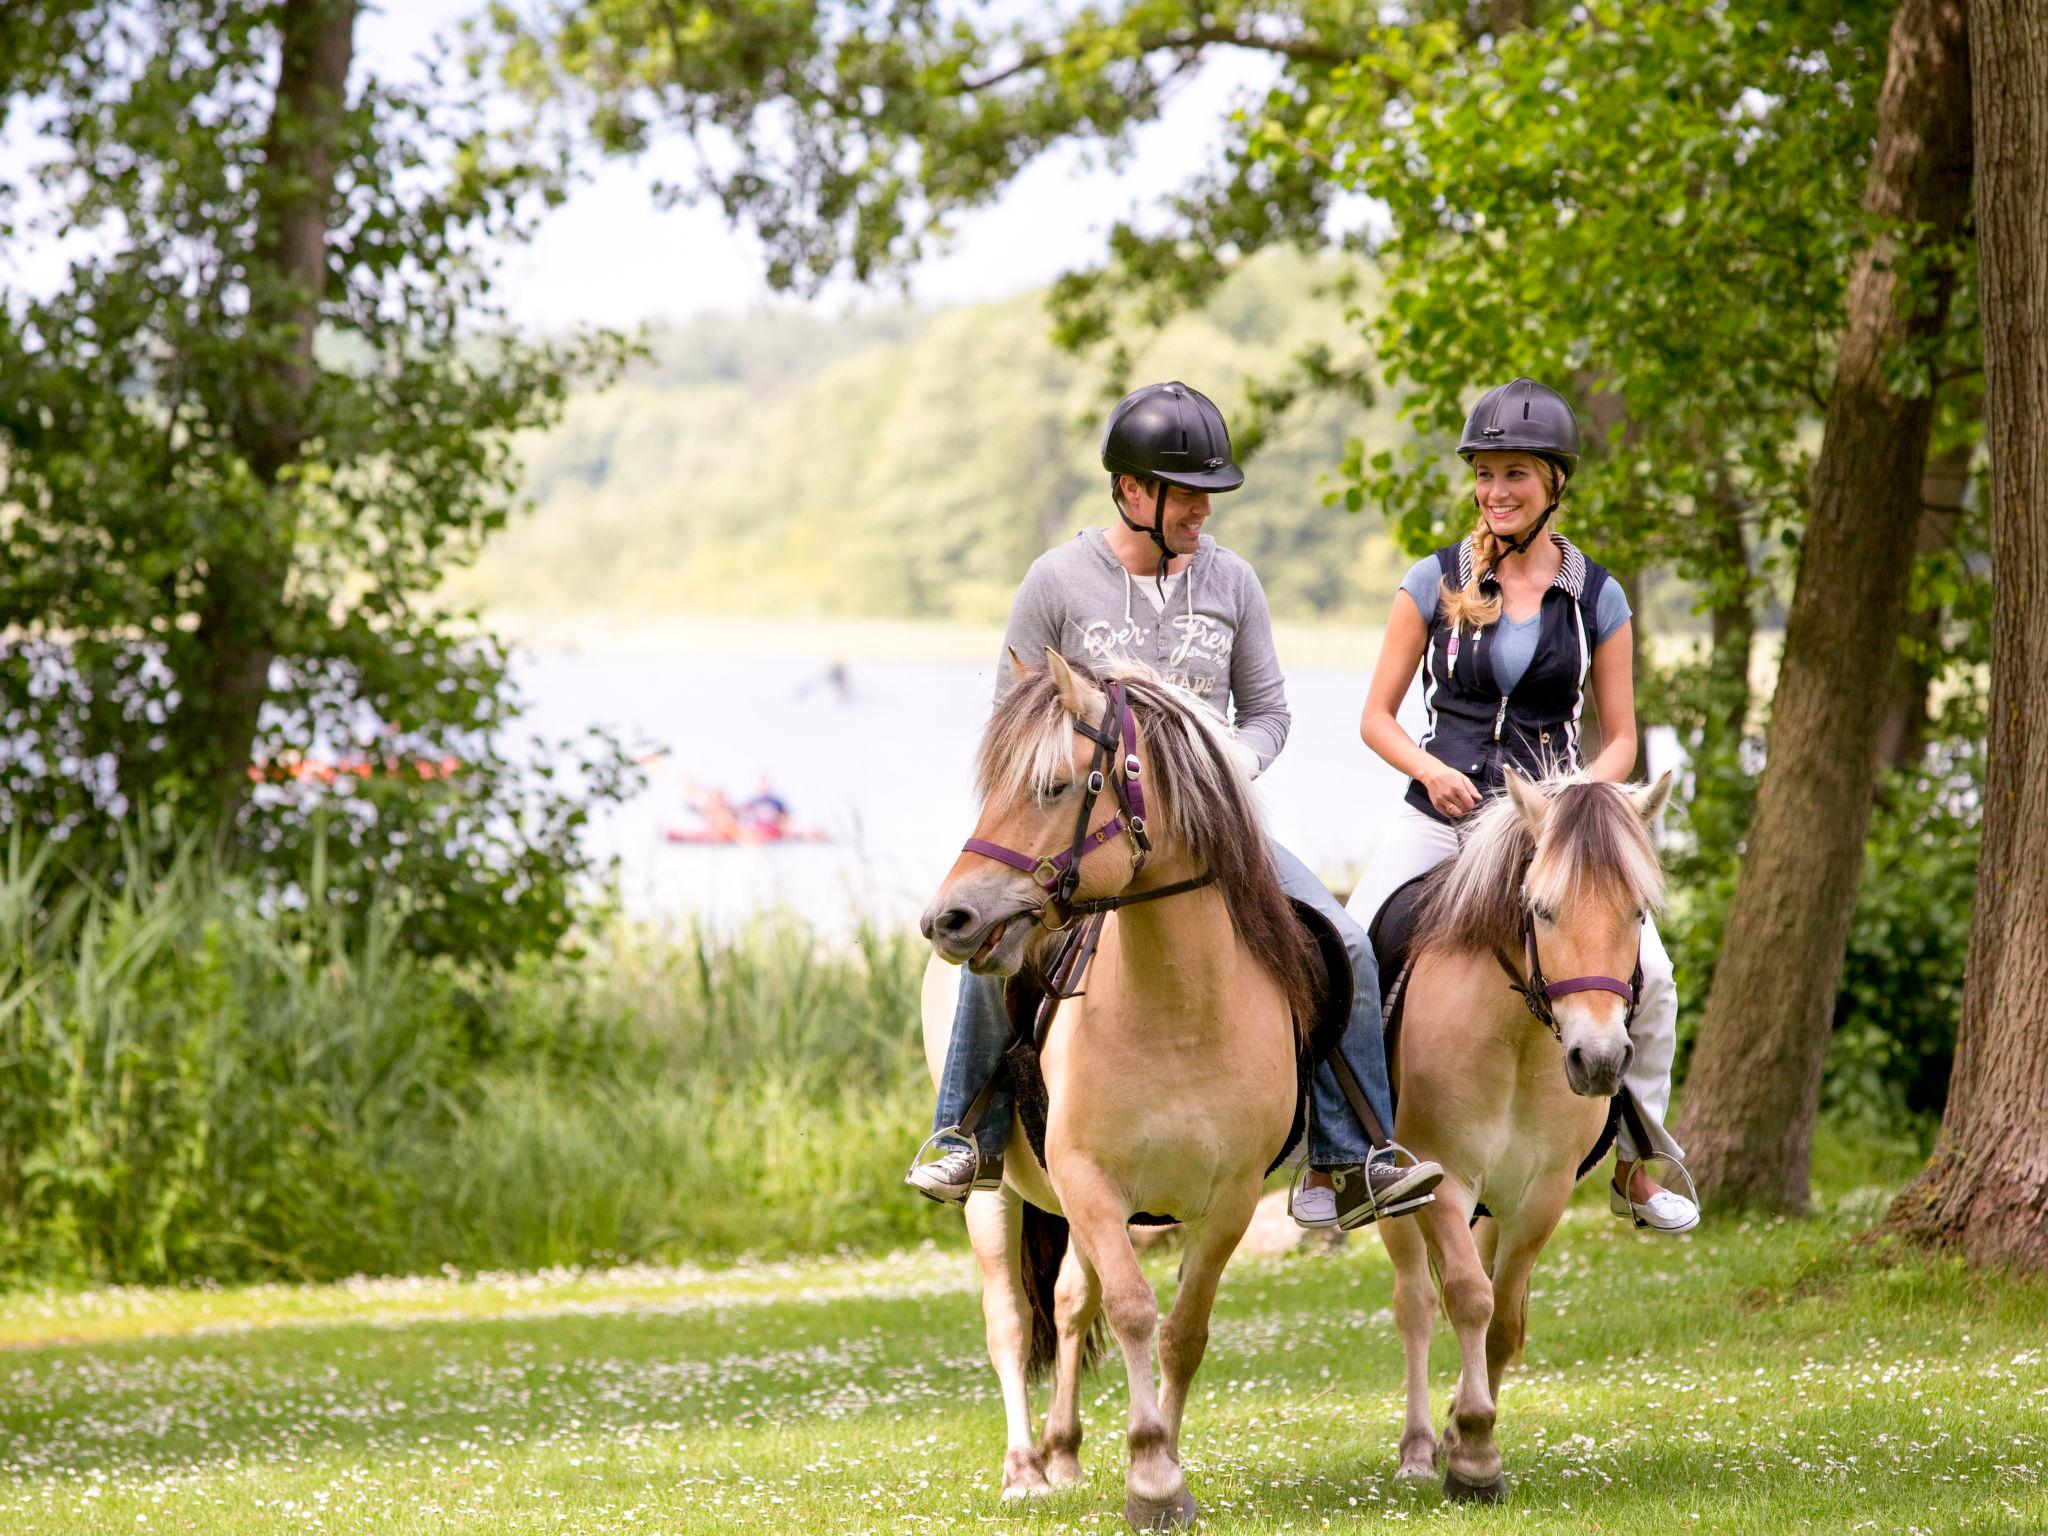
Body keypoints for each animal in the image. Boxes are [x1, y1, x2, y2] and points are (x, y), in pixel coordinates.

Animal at [917, 647, 1310, 1531]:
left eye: (1056, 786)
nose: (946, 919)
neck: (1179, 1013)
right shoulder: (1091, 1181)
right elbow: (1132, 1307)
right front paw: (1153, 1476)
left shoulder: (1229, 1199)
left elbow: (1183, 1330)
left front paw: (1166, 1460)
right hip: (998, 1193)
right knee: (1010, 1318)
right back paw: (1025, 1469)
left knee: (1067, 1301)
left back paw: (1064, 1452)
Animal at [1384, 770, 1671, 1507]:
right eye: (1541, 910)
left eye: (1638, 914)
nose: (1599, 1060)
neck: (1515, 1037)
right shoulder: (1445, 1179)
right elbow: (1467, 1298)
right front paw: (1473, 1457)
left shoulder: (1541, 1193)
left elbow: (1505, 1319)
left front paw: (1472, 1441)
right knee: (1416, 1305)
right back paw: (1418, 1447)